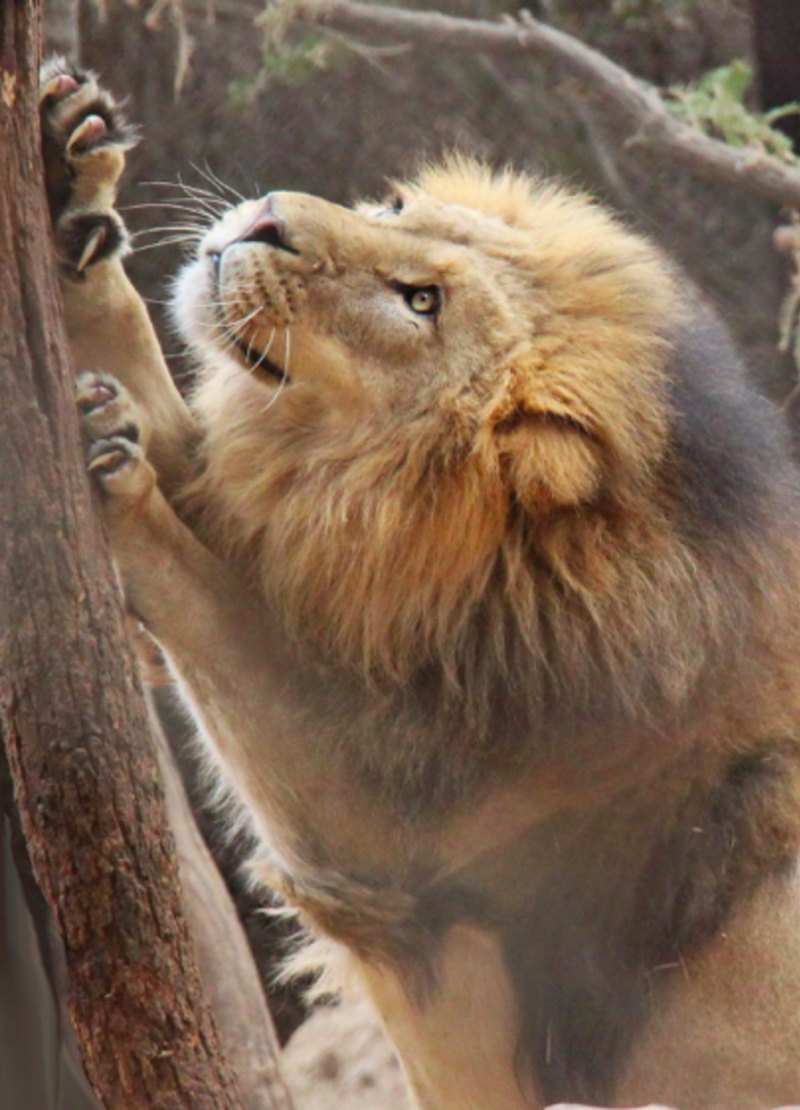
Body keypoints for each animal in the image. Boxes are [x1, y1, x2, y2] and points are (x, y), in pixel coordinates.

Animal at [42, 60, 800, 1109]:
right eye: (398, 206)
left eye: (420, 303)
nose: (265, 217)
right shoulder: (294, 552)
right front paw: (68, 174)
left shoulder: (399, 862)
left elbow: (203, 603)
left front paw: (117, 481)